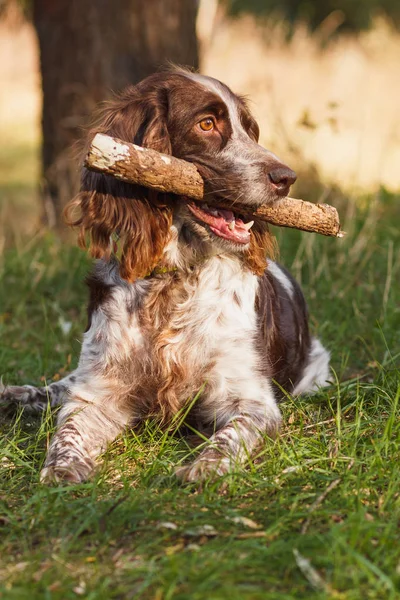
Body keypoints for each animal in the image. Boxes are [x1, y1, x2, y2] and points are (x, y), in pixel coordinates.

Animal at [0, 69, 332, 482]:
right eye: (207, 124)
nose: (286, 177)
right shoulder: (100, 391)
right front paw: (62, 469)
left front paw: (206, 467)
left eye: (250, 130)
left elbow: (230, 437)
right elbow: (68, 429)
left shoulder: (251, 400)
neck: (174, 280)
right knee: (64, 385)